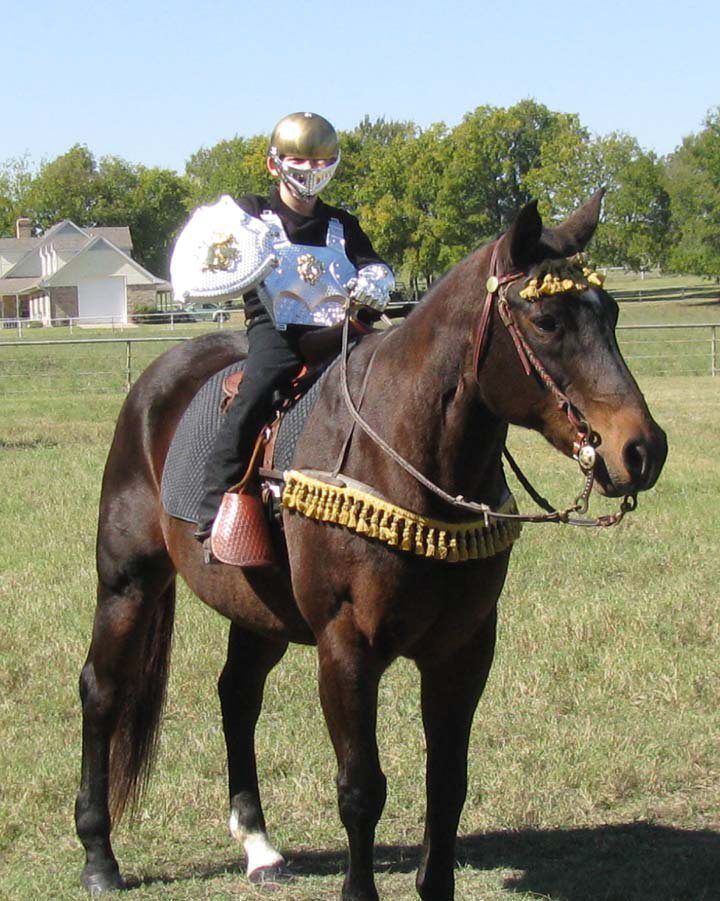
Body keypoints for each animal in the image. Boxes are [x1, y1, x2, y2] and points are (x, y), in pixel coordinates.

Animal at [75, 191, 667, 900]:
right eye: (547, 320)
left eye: (610, 313)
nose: (641, 450)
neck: (409, 459)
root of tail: (154, 382)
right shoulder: (347, 647)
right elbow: (361, 789)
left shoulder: (464, 650)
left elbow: (448, 786)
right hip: (128, 583)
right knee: (102, 690)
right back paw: (99, 856)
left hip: (259, 611)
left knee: (237, 694)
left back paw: (258, 844)